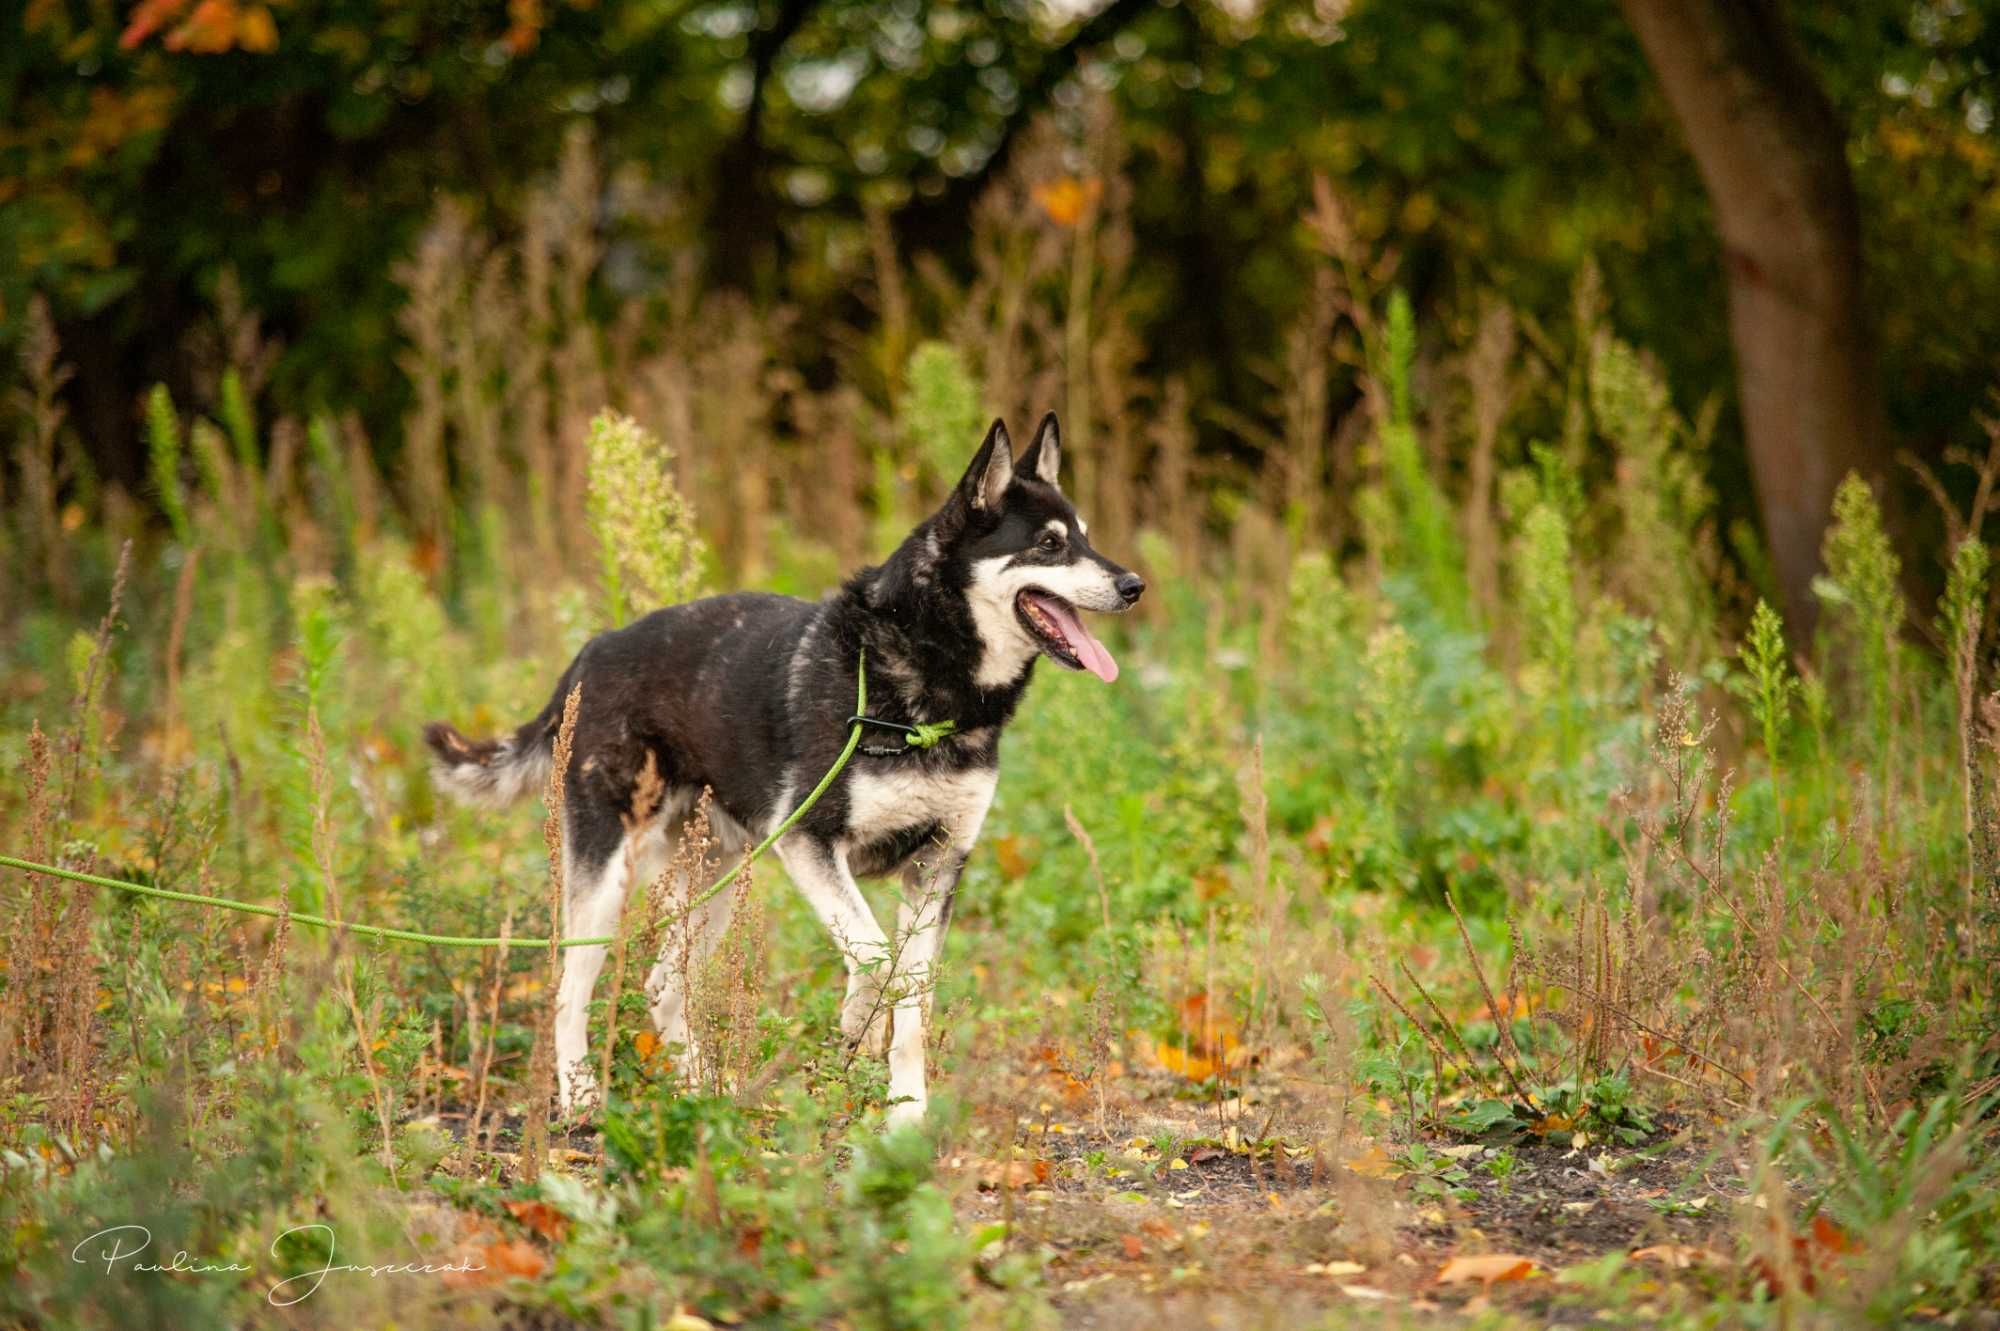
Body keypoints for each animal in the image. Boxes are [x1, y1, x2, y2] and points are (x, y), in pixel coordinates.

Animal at [426, 415, 1144, 1119]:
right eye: (1048, 545)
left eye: (1086, 536)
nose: (1134, 585)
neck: (923, 688)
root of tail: (588, 656)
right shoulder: (809, 840)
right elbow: (875, 957)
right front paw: (853, 1030)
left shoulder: (938, 862)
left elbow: (912, 996)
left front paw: (906, 1110)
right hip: (609, 878)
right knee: (567, 984)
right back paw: (579, 1096)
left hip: (714, 874)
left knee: (662, 985)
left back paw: (704, 1094)